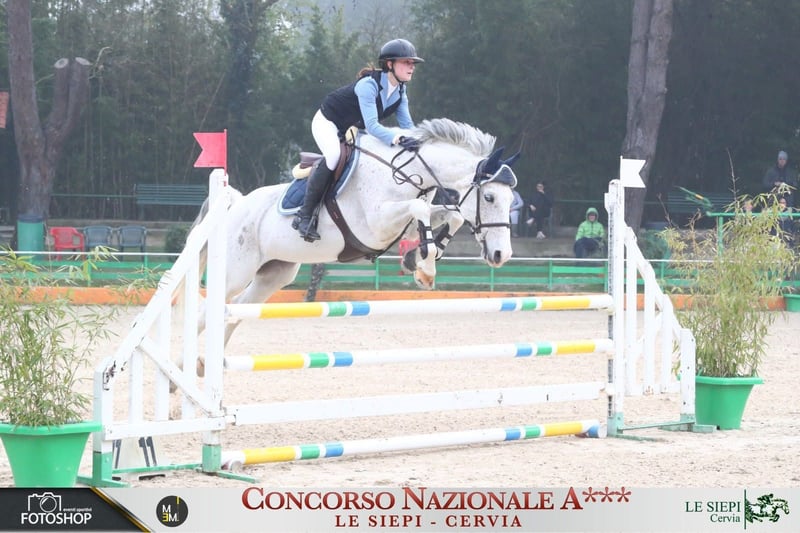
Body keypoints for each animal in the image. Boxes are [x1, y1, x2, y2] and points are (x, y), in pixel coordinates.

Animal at [190, 118, 520, 347]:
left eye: (511, 200)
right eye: (489, 197)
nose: (501, 254)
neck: (404, 172)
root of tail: (237, 204)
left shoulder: (402, 226)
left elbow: (451, 216)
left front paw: (419, 257)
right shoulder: (377, 224)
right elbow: (421, 209)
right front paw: (425, 269)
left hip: (274, 274)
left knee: (234, 310)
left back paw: (203, 366)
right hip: (236, 270)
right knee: (208, 310)